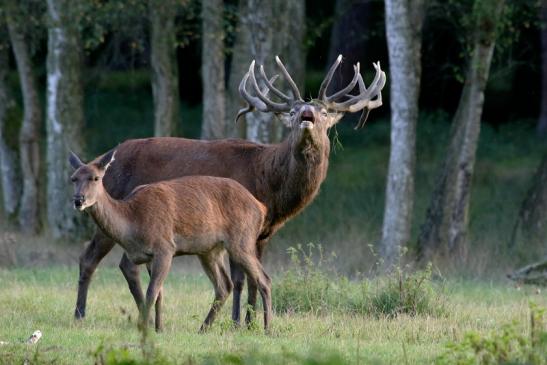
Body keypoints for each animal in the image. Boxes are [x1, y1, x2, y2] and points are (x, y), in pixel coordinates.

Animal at [70, 149, 272, 332]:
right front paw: (159, 328)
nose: (78, 200)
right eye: (73, 178)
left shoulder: (165, 248)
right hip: (210, 250)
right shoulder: (149, 256)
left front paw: (144, 327)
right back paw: (203, 328)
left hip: (241, 240)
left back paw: (267, 329)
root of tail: (261, 207)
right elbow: (160, 293)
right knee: (224, 285)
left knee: (264, 279)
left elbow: (152, 291)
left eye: (95, 178)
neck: (133, 223)